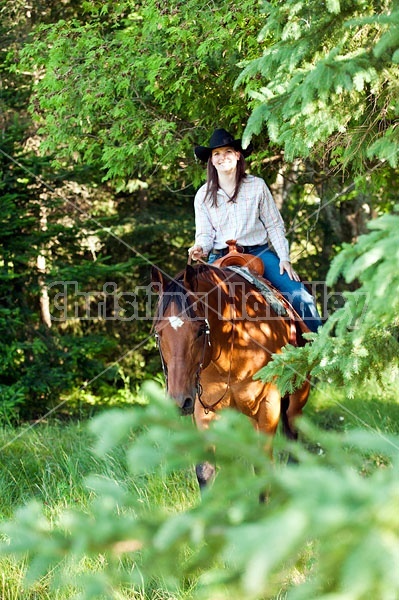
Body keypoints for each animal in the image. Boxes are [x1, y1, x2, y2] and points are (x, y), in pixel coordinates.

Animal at [152, 262, 310, 488]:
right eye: (158, 332)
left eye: (200, 330)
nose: (179, 402)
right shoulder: (202, 411)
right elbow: (204, 471)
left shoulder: (268, 406)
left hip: (296, 399)